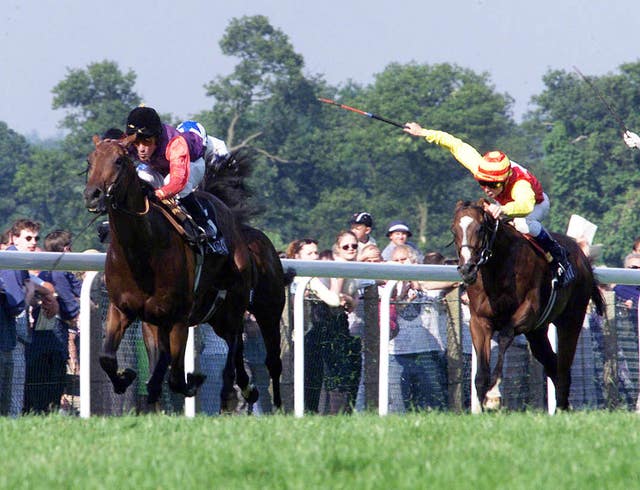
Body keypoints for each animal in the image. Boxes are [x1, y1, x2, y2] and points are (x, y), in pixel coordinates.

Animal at [83, 136, 288, 412]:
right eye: (90, 160)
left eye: (118, 160)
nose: (93, 195)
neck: (141, 251)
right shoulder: (126, 310)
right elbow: (108, 358)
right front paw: (126, 378)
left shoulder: (178, 317)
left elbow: (175, 376)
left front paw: (192, 381)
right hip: (219, 317)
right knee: (235, 346)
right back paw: (244, 389)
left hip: (262, 310)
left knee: (266, 357)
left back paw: (265, 401)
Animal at [450, 198, 604, 410]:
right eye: (453, 230)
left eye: (480, 228)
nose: (467, 269)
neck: (498, 267)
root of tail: (584, 257)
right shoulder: (479, 320)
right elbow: (480, 372)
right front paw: (482, 403)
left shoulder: (528, 312)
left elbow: (505, 336)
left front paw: (493, 395)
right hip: (537, 333)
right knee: (553, 365)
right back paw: (562, 407)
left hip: (571, 319)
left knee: (563, 367)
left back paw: (562, 407)